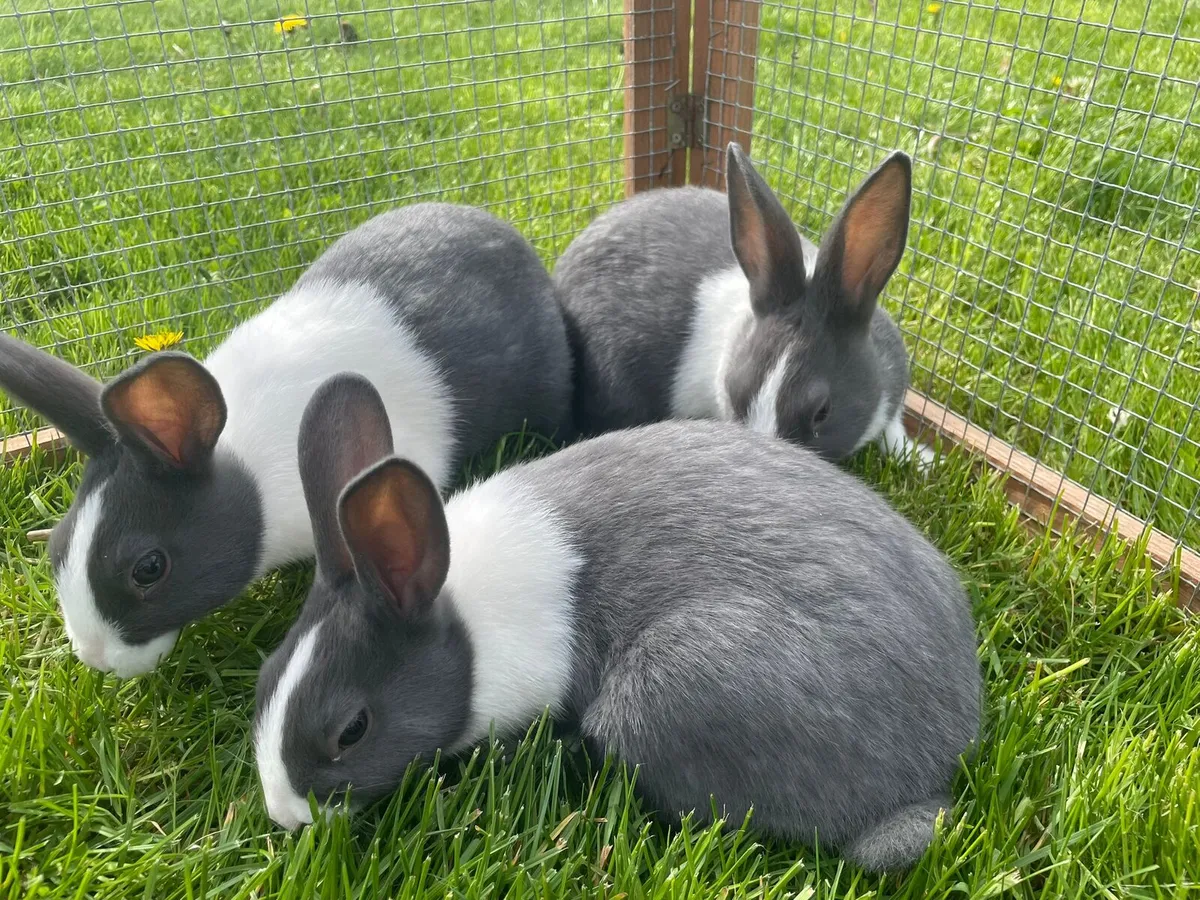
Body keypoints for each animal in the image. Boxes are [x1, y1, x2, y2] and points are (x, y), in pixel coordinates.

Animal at [253, 372, 980, 873]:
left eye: (351, 730)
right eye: (264, 676)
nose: (285, 814)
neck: (466, 627)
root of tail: (946, 752)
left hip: (663, 688)